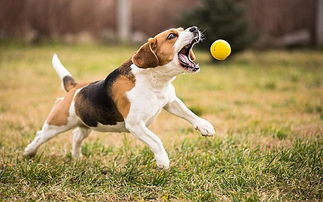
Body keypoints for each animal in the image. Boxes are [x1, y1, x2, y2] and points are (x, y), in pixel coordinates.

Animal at [24, 26, 216, 169]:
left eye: (182, 29)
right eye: (171, 36)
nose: (194, 28)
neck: (154, 80)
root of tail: (75, 87)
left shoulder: (170, 101)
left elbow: (189, 113)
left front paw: (205, 126)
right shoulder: (136, 124)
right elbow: (156, 140)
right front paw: (163, 161)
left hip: (86, 124)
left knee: (76, 136)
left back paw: (77, 157)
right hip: (57, 123)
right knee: (41, 135)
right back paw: (28, 152)